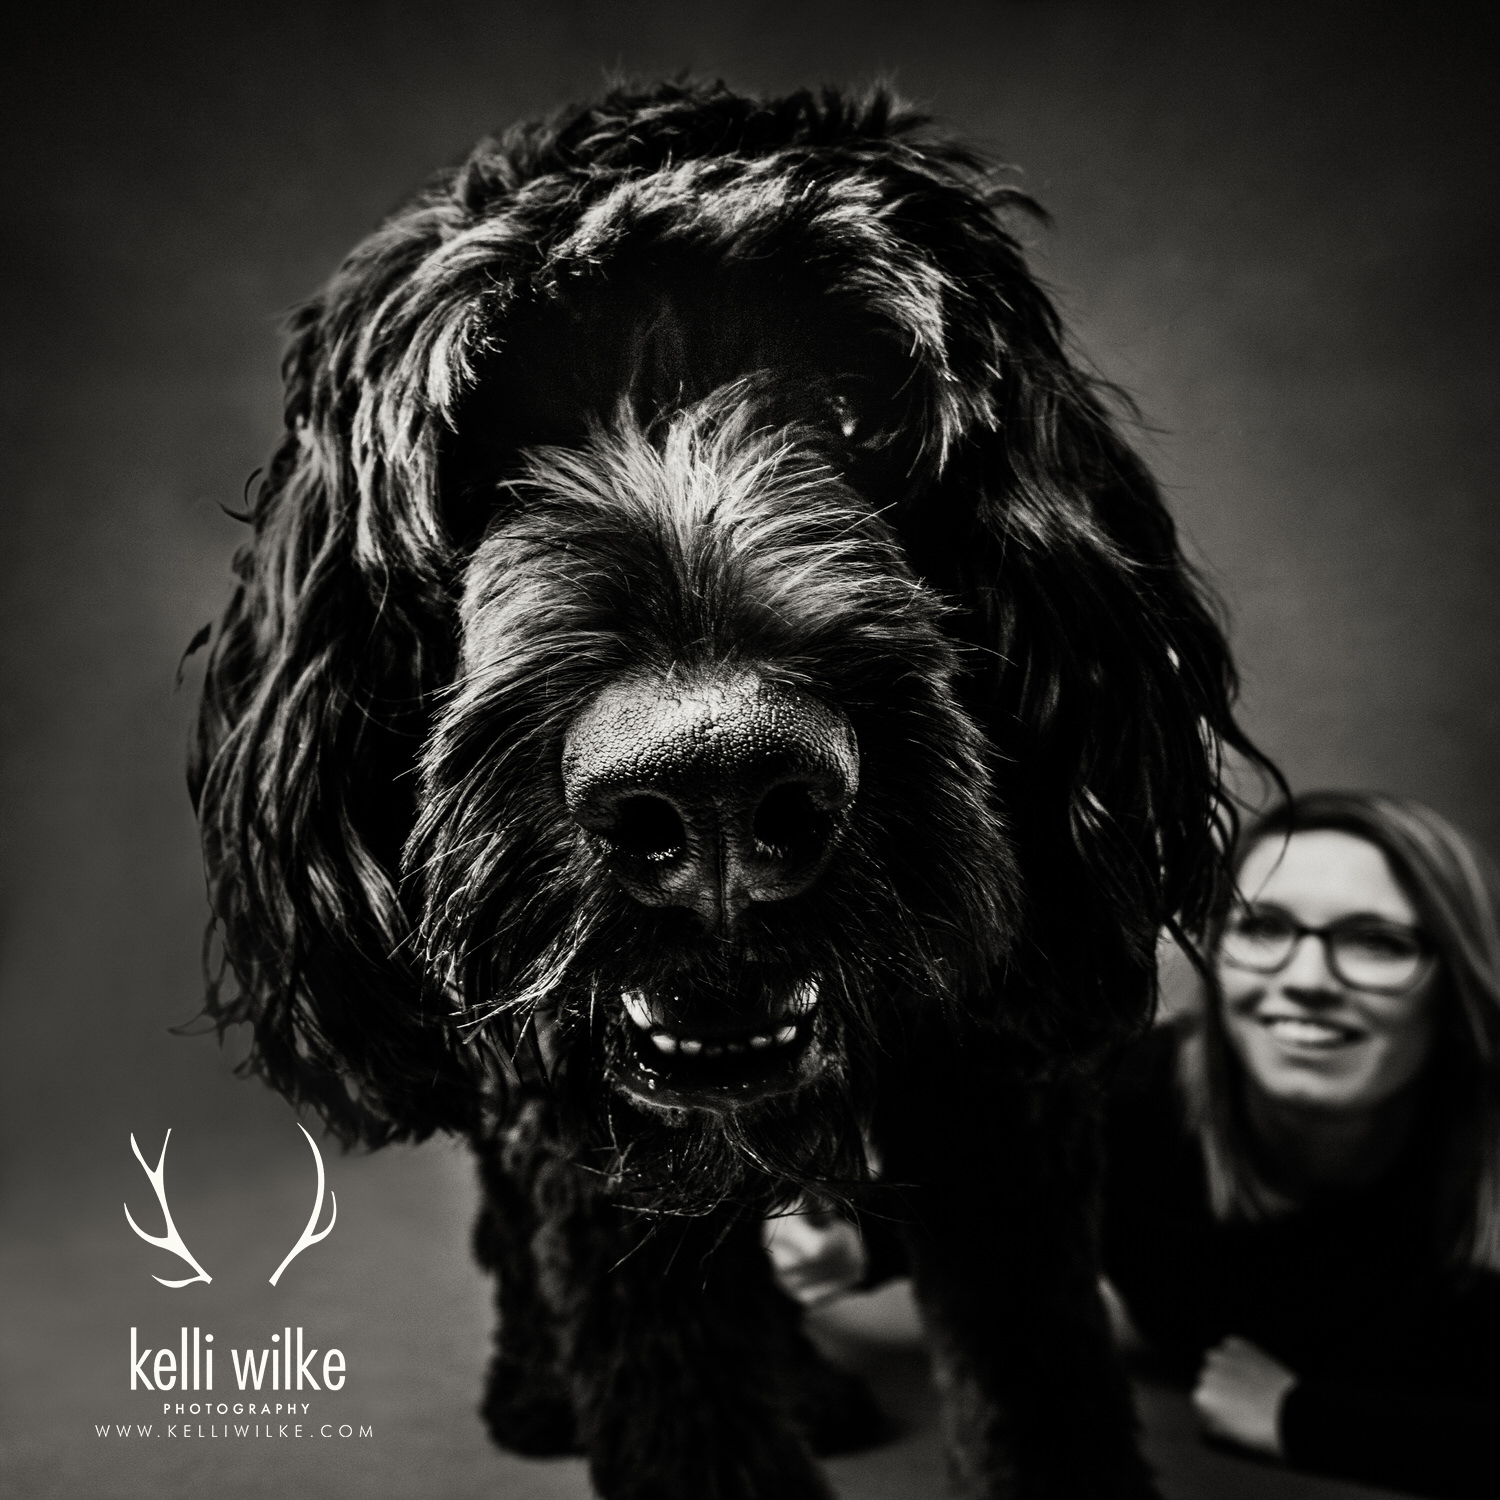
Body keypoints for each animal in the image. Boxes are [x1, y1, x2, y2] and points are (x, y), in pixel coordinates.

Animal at [193, 82, 1260, 1500]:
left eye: (856, 409)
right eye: (489, 448)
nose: (713, 786)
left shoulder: (1006, 1110)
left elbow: (1036, 1369)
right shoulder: (582, 1145)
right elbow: (680, 1384)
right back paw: (543, 1390)